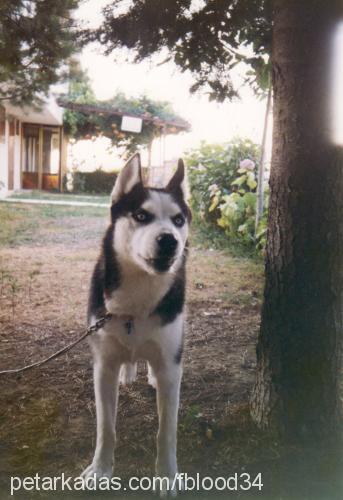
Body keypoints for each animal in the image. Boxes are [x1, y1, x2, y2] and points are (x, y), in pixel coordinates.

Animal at [82, 153, 192, 488]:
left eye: (178, 220)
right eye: (141, 216)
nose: (169, 240)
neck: (139, 296)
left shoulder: (171, 363)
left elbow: (166, 432)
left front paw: (167, 476)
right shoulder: (103, 366)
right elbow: (106, 428)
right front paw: (101, 469)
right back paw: (128, 371)